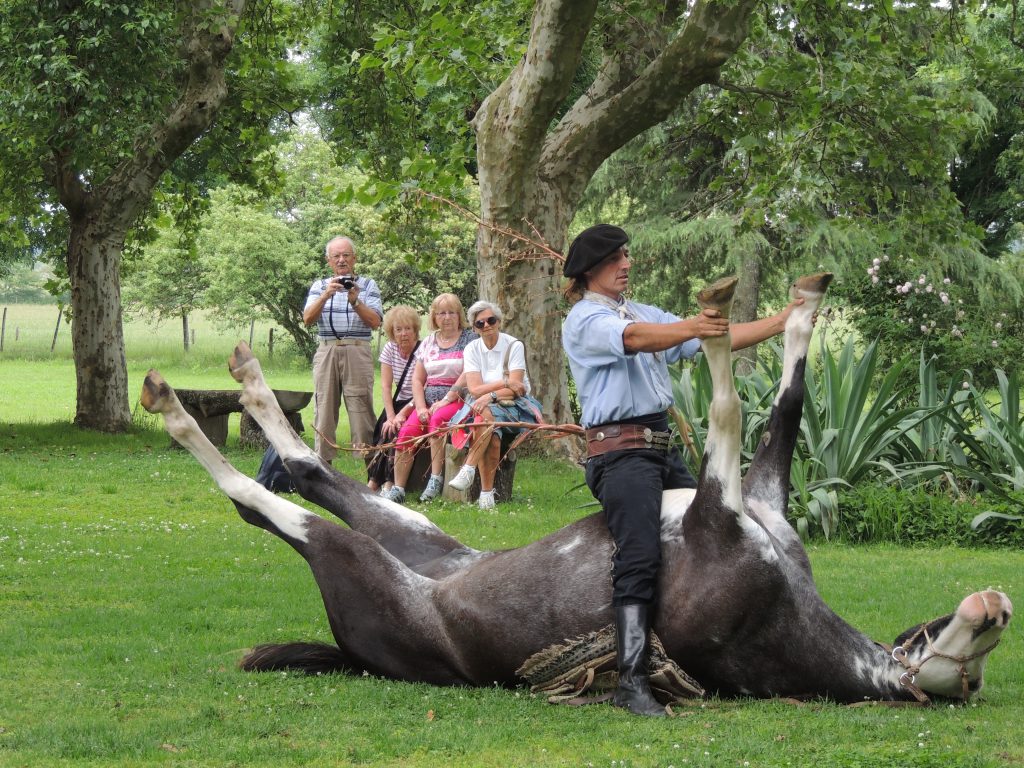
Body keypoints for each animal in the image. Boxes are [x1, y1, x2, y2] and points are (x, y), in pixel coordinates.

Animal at [140, 274, 1011, 708]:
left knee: (275, 504)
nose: (995, 607)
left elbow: (735, 406)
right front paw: (784, 310)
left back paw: (188, 408)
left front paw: (733, 322)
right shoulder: (746, 494)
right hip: (416, 538)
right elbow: (778, 399)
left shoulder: (725, 505)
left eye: (966, 673)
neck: (782, 607)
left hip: (368, 564)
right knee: (311, 472)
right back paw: (233, 384)